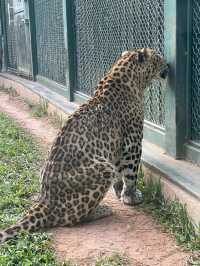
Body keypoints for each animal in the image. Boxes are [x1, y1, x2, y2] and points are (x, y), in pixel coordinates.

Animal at [0, 47, 168, 243]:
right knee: (69, 219)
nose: (168, 64)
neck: (131, 79)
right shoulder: (132, 142)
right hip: (103, 169)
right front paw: (131, 197)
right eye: (158, 57)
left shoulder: (115, 147)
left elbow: (119, 174)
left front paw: (119, 191)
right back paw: (101, 210)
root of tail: (46, 201)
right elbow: (130, 172)